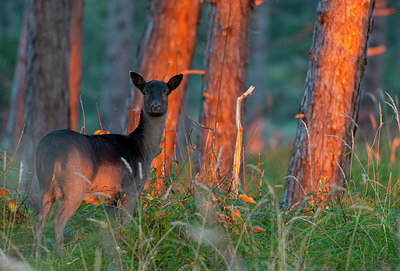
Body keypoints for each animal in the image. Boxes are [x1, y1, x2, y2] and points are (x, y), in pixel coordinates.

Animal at [35, 71, 184, 255]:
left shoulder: (112, 197)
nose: (155, 106)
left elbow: (113, 226)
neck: (143, 150)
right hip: (75, 185)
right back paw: (62, 255)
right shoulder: (130, 188)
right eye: (145, 91)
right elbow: (126, 223)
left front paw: (114, 249)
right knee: (58, 220)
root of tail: (50, 148)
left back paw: (37, 254)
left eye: (165, 91)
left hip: (43, 184)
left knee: (40, 219)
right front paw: (126, 248)